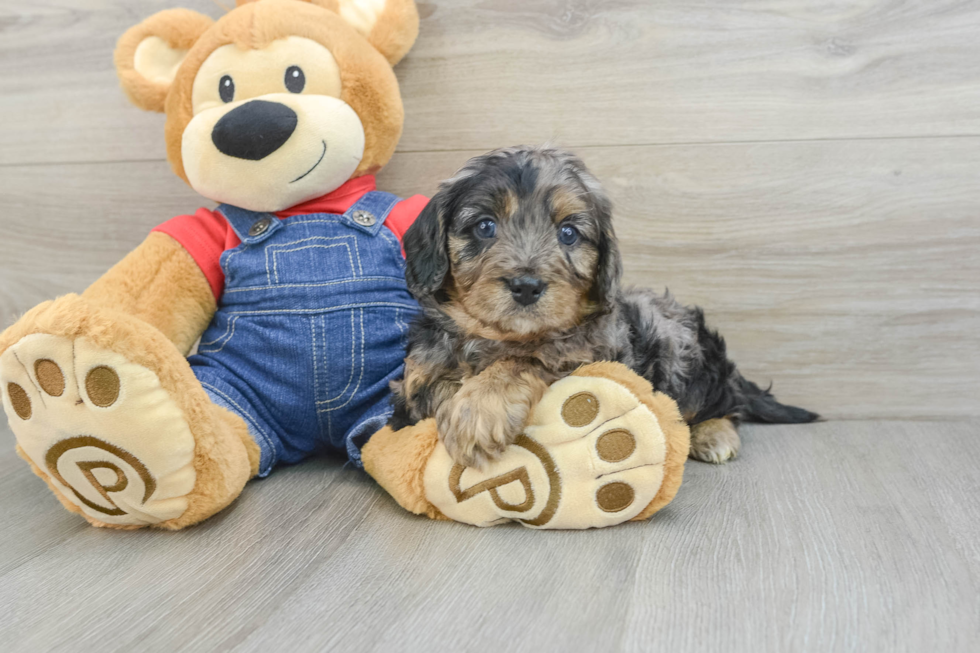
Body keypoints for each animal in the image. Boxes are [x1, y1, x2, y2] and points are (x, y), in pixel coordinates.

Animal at [386, 145, 816, 466]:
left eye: (568, 233)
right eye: (484, 226)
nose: (526, 286)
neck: (501, 336)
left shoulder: (590, 360)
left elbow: (528, 360)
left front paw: (480, 407)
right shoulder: (414, 383)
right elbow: (435, 385)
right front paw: (465, 397)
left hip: (681, 352)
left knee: (723, 404)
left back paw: (713, 434)